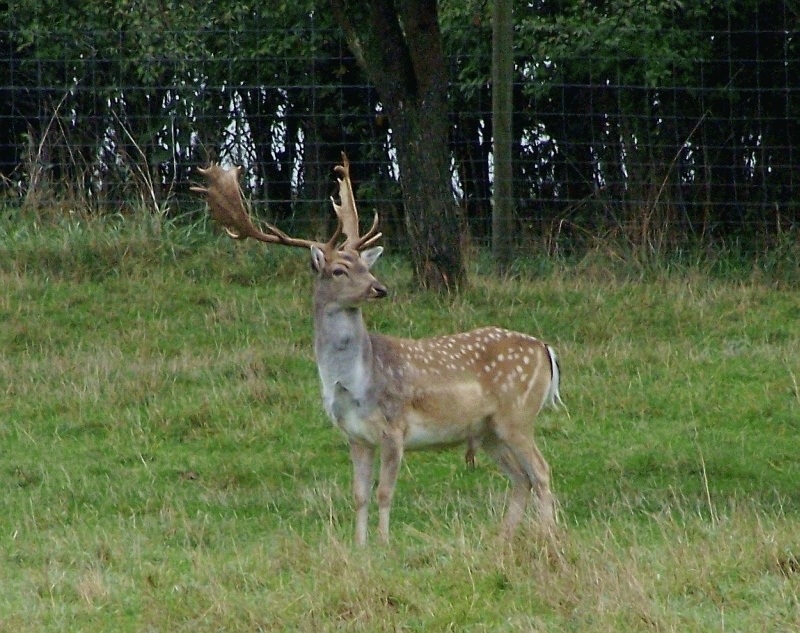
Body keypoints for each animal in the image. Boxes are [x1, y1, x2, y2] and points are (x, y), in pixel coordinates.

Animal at [191, 156, 564, 552]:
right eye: (339, 269)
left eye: (366, 266)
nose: (379, 288)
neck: (354, 383)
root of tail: (546, 349)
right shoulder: (355, 436)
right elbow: (359, 495)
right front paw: (360, 546)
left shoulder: (394, 427)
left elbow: (385, 492)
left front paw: (384, 545)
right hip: (489, 430)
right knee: (521, 477)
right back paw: (504, 540)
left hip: (517, 414)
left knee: (541, 471)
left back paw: (550, 538)